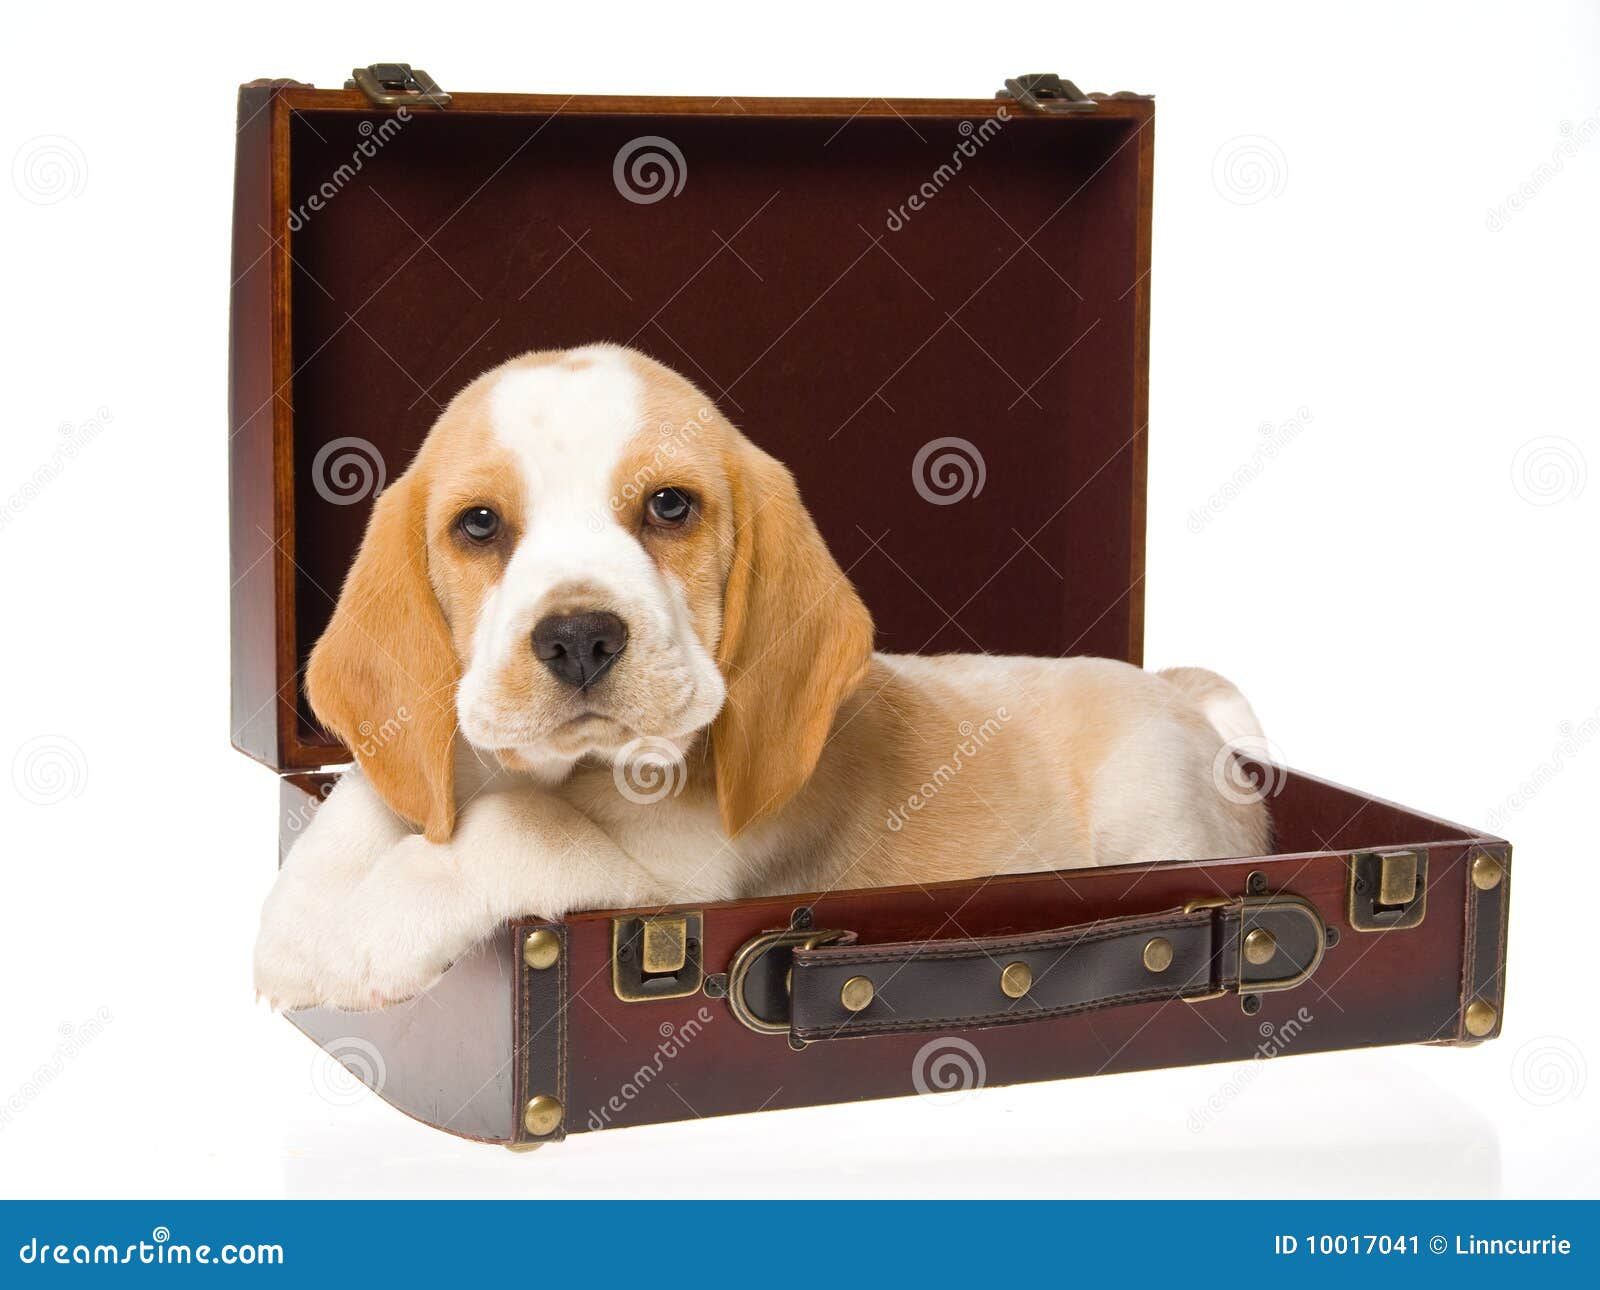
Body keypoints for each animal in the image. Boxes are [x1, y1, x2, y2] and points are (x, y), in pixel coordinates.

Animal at [256, 348, 1267, 1017]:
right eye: (478, 524)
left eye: (670, 506)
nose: (579, 638)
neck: (568, 771)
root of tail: (1175, 691)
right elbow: (362, 803)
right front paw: (298, 932)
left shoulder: (672, 880)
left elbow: (518, 830)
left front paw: (371, 929)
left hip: (1152, 812)